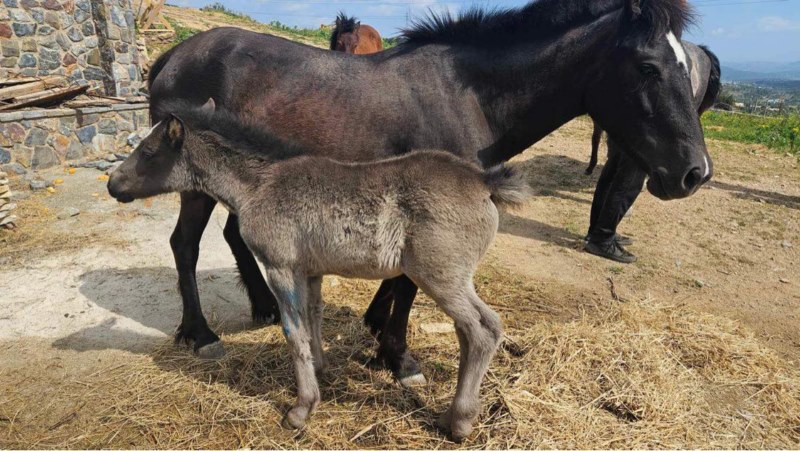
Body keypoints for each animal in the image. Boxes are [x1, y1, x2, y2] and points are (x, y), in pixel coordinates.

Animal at [108, 99, 530, 440]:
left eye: (148, 151)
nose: (113, 184)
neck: (260, 185)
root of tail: (483, 180)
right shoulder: (309, 270)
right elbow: (313, 316)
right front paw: (322, 369)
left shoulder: (280, 267)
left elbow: (293, 331)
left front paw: (301, 408)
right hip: (452, 279)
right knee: (474, 329)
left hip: (440, 276)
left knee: (482, 330)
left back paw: (459, 421)